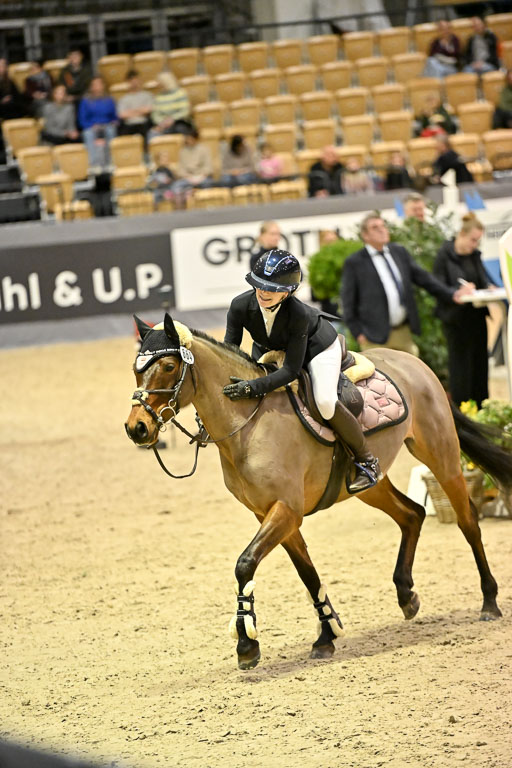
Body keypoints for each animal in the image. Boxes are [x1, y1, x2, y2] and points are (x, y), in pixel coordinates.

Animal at [125, 313, 512, 670]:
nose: (136, 428)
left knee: (467, 520)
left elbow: (245, 564)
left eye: (169, 366)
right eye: (136, 370)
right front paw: (326, 635)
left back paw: (489, 602)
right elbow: (306, 572)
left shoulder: (286, 510)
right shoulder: (270, 514)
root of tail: (414, 363)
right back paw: (407, 595)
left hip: (440, 455)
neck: (248, 425)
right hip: (368, 486)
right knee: (412, 514)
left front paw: (247, 644)